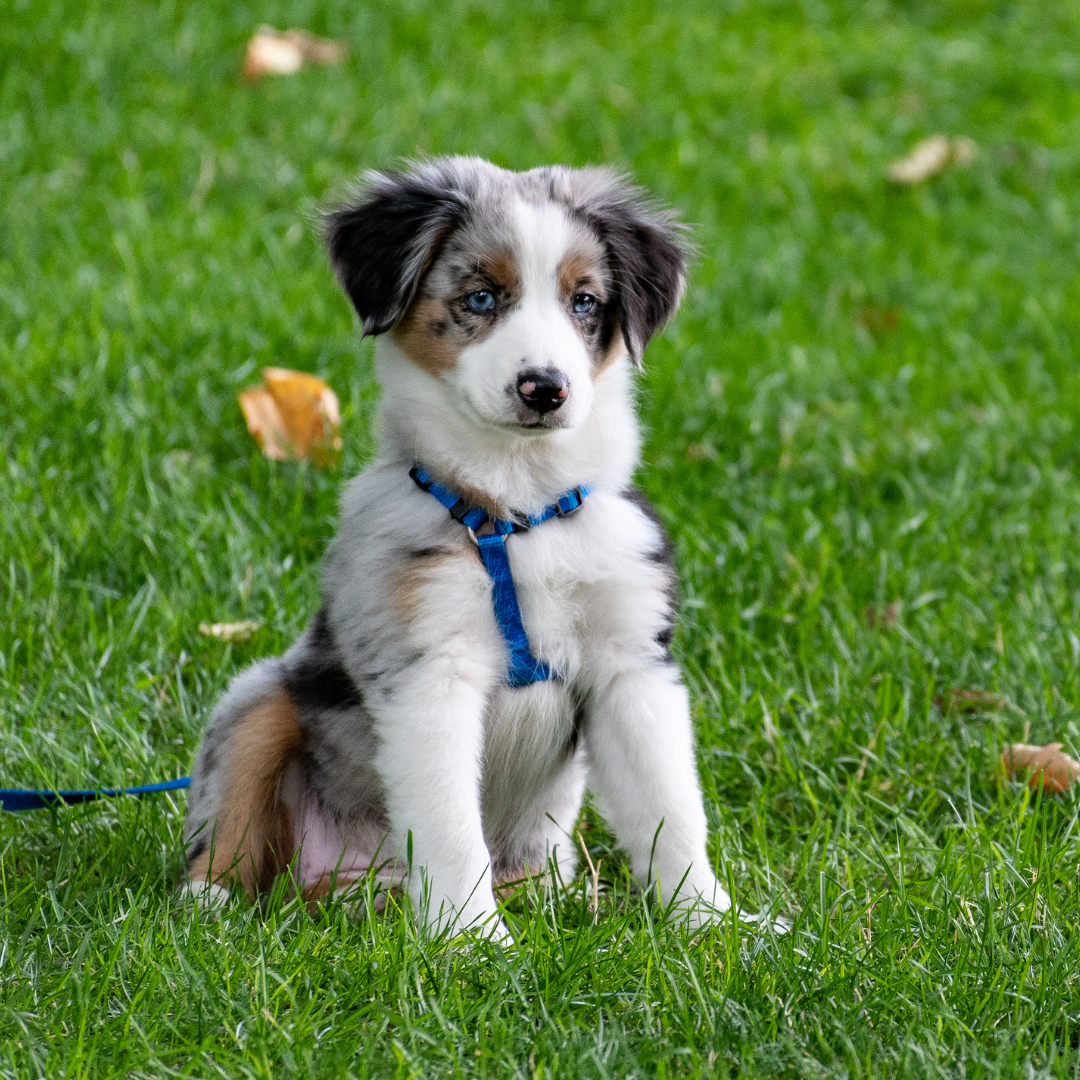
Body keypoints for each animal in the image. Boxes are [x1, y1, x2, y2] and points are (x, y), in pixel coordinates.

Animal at [185, 156, 730, 933]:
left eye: (585, 302)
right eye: (481, 297)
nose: (545, 389)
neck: (519, 511)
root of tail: (351, 885)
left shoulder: (632, 664)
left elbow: (671, 809)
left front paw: (715, 925)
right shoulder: (428, 672)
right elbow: (448, 826)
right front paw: (473, 940)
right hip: (260, 698)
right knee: (229, 822)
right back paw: (211, 903)